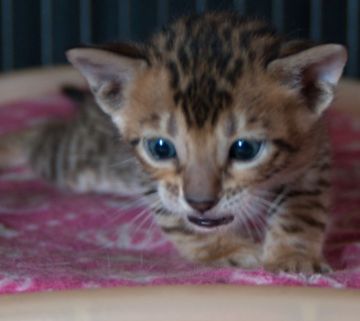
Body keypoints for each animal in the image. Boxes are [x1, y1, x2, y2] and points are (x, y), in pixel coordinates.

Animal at [1, 13, 348, 272]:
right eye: (161, 148)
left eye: (244, 149)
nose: (201, 202)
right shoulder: (151, 180)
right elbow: (180, 218)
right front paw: (223, 249)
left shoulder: (314, 152)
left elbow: (303, 206)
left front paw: (295, 256)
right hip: (76, 162)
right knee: (40, 135)